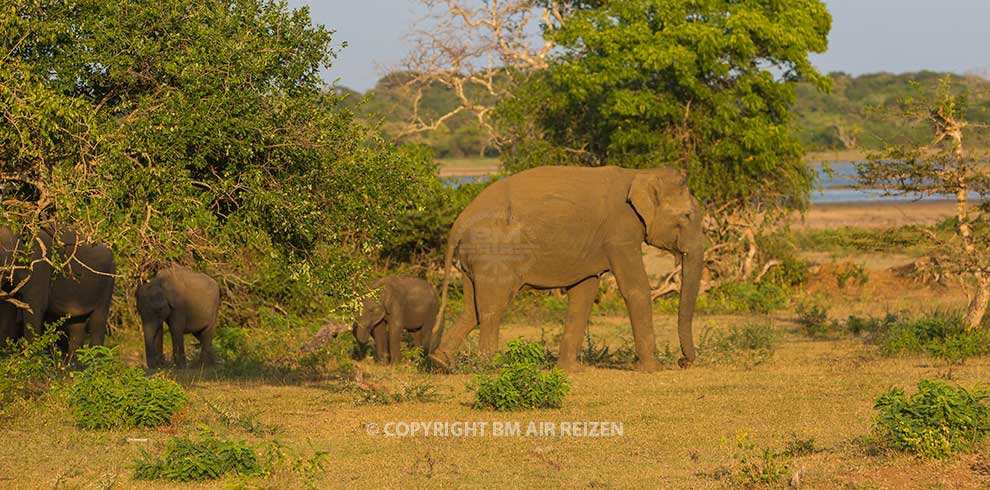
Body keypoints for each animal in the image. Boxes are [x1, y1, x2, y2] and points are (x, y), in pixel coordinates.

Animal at [432, 167, 704, 374]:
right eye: (686, 216)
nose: (683, 362)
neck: (639, 173)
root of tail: (460, 221)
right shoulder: (620, 232)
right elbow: (634, 289)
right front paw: (653, 369)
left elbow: (584, 293)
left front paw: (570, 371)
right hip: (494, 252)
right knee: (492, 308)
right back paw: (491, 367)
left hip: (474, 257)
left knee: (472, 310)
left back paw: (441, 362)